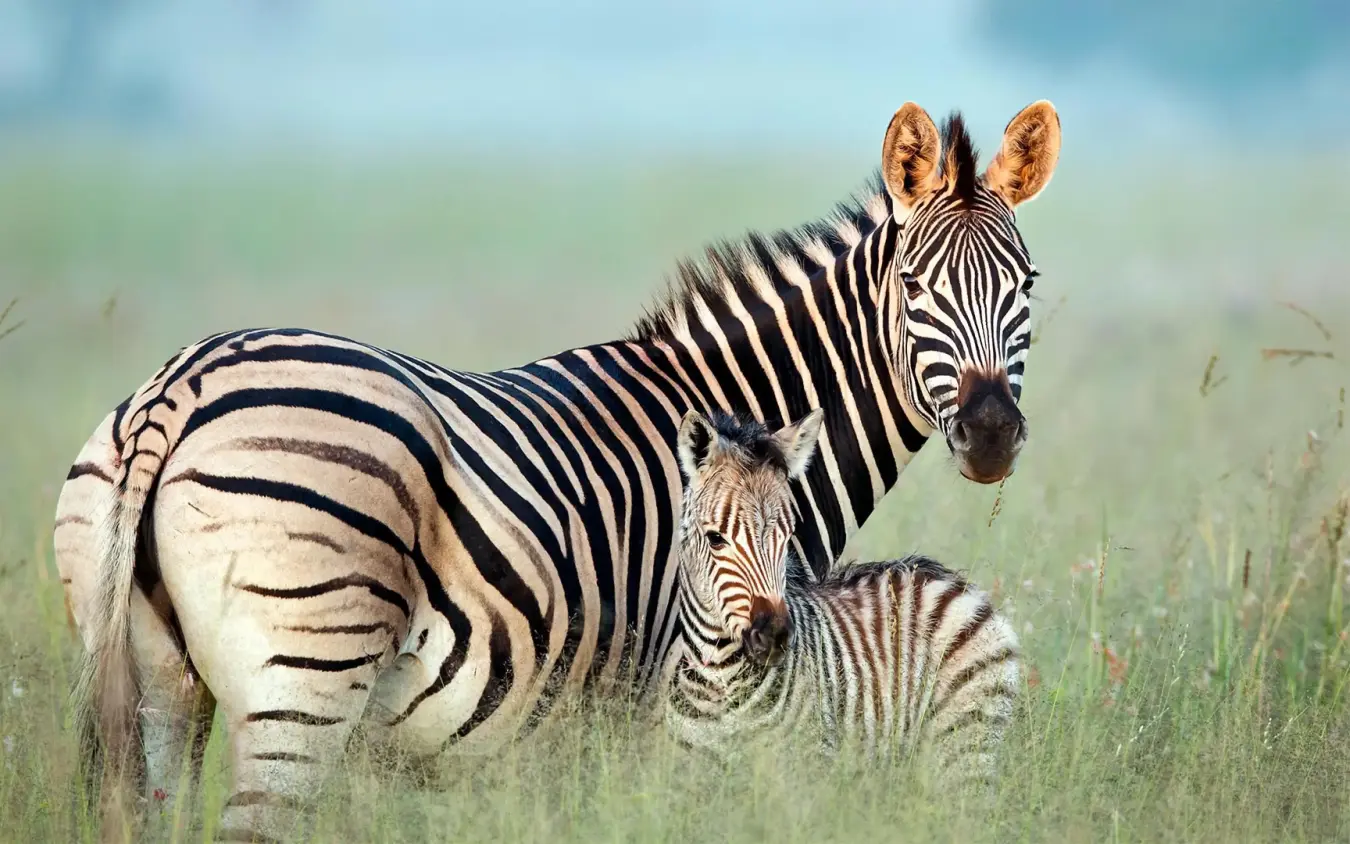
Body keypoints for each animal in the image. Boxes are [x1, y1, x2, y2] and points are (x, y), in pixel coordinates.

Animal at [665, 409, 1019, 786]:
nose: (775, 636)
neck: (718, 680)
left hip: (965, 745)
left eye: (787, 536)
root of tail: (951, 580)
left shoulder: (800, 772)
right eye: (715, 539)